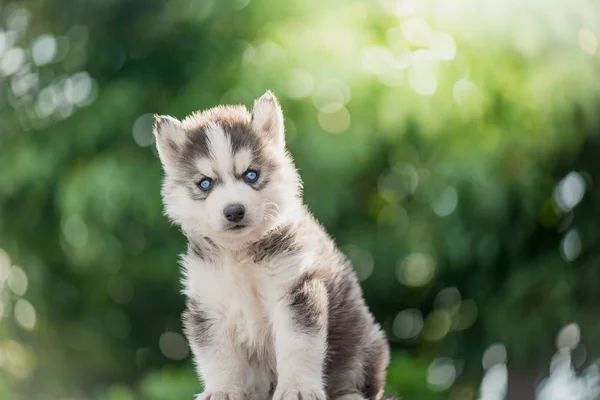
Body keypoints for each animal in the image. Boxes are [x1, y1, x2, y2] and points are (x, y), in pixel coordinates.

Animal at [155, 91, 390, 400]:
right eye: (205, 183)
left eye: (251, 175)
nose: (234, 211)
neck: (240, 253)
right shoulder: (208, 303)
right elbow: (217, 356)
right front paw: (222, 390)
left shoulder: (294, 290)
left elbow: (297, 346)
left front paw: (298, 389)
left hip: (363, 343)